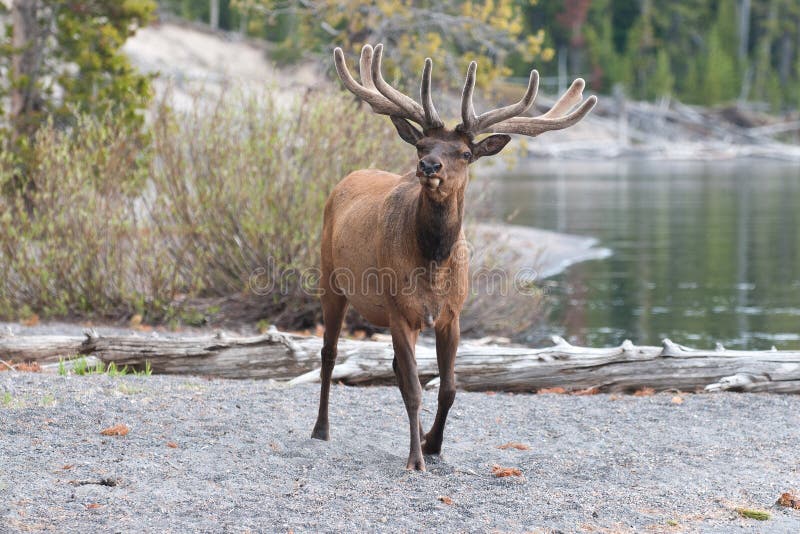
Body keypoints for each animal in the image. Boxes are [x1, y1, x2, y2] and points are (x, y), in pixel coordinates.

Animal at [312, 44, 596, 471]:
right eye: (421, 145)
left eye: (464, 152)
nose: (428, 166)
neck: (433, 265)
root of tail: (346, 179)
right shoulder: (400, 310)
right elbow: (416, 389)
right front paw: (416, 459)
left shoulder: (451, 315)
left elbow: (448, 387)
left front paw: (433, 444)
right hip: (331, 278)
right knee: (329, 353)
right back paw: (321, 430)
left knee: (394, 369)